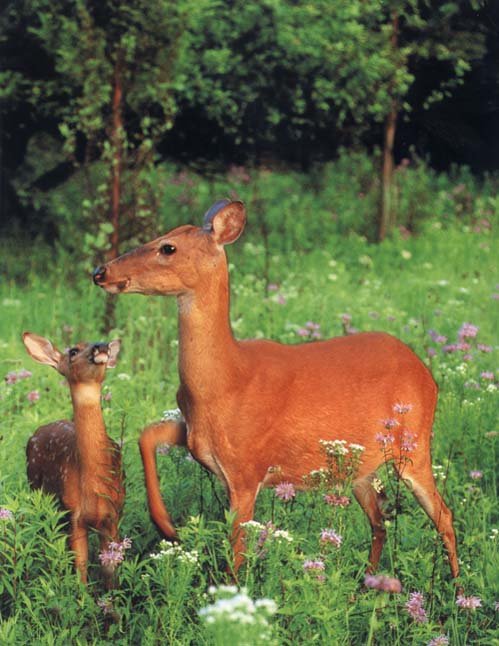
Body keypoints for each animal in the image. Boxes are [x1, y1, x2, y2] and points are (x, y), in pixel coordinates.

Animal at [22, 334, 125, 588]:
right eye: (73, 351)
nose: (101, 345)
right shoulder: (73, 514)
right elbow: (81, 568)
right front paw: (81, 598)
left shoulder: (114, 514)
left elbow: (110, 570)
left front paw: (115, 597)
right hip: (38, 492)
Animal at [94, 200, 460, 580]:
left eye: (168, 247)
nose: (100, 272)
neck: (225, 379)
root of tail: (426, 373)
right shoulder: (196, 436)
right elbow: (146, 435)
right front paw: (166, 525)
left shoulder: (246, 469)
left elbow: (236, 554)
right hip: (361, 465)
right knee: (380, 521)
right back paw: (366, 583)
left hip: (413, 444)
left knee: (443, 515)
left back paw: (457, 587)